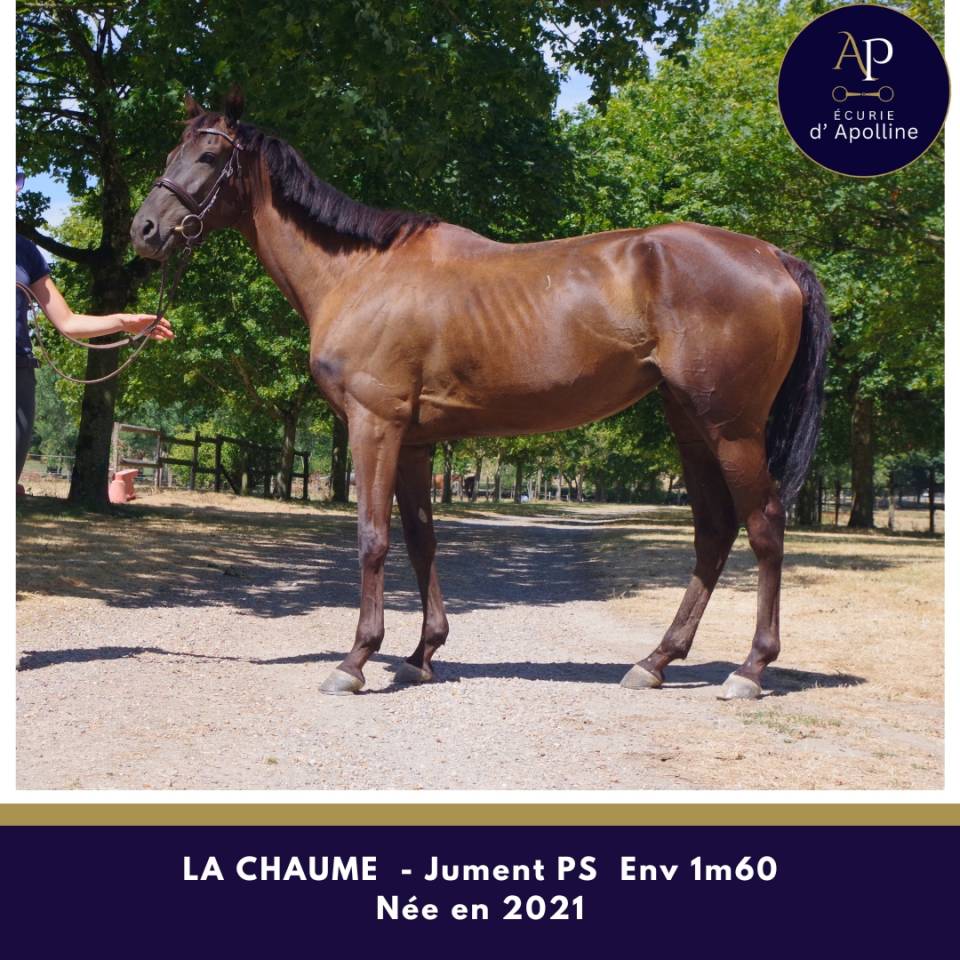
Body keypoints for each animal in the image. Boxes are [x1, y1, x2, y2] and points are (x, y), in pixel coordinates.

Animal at [131, 91, 830, 701]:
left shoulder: (374, 426)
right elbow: (421, 540)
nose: (144, 230)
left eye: (209, 156)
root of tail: (773, 256)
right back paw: (655, 662)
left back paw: (749, 670)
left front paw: (355, 661)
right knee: (713, 531)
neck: (361, 273)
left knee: (764, 526)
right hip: (690, 423)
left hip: (732, 428)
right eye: (171, 150)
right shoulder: (414, 443)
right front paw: (421, 654)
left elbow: (372, 538)